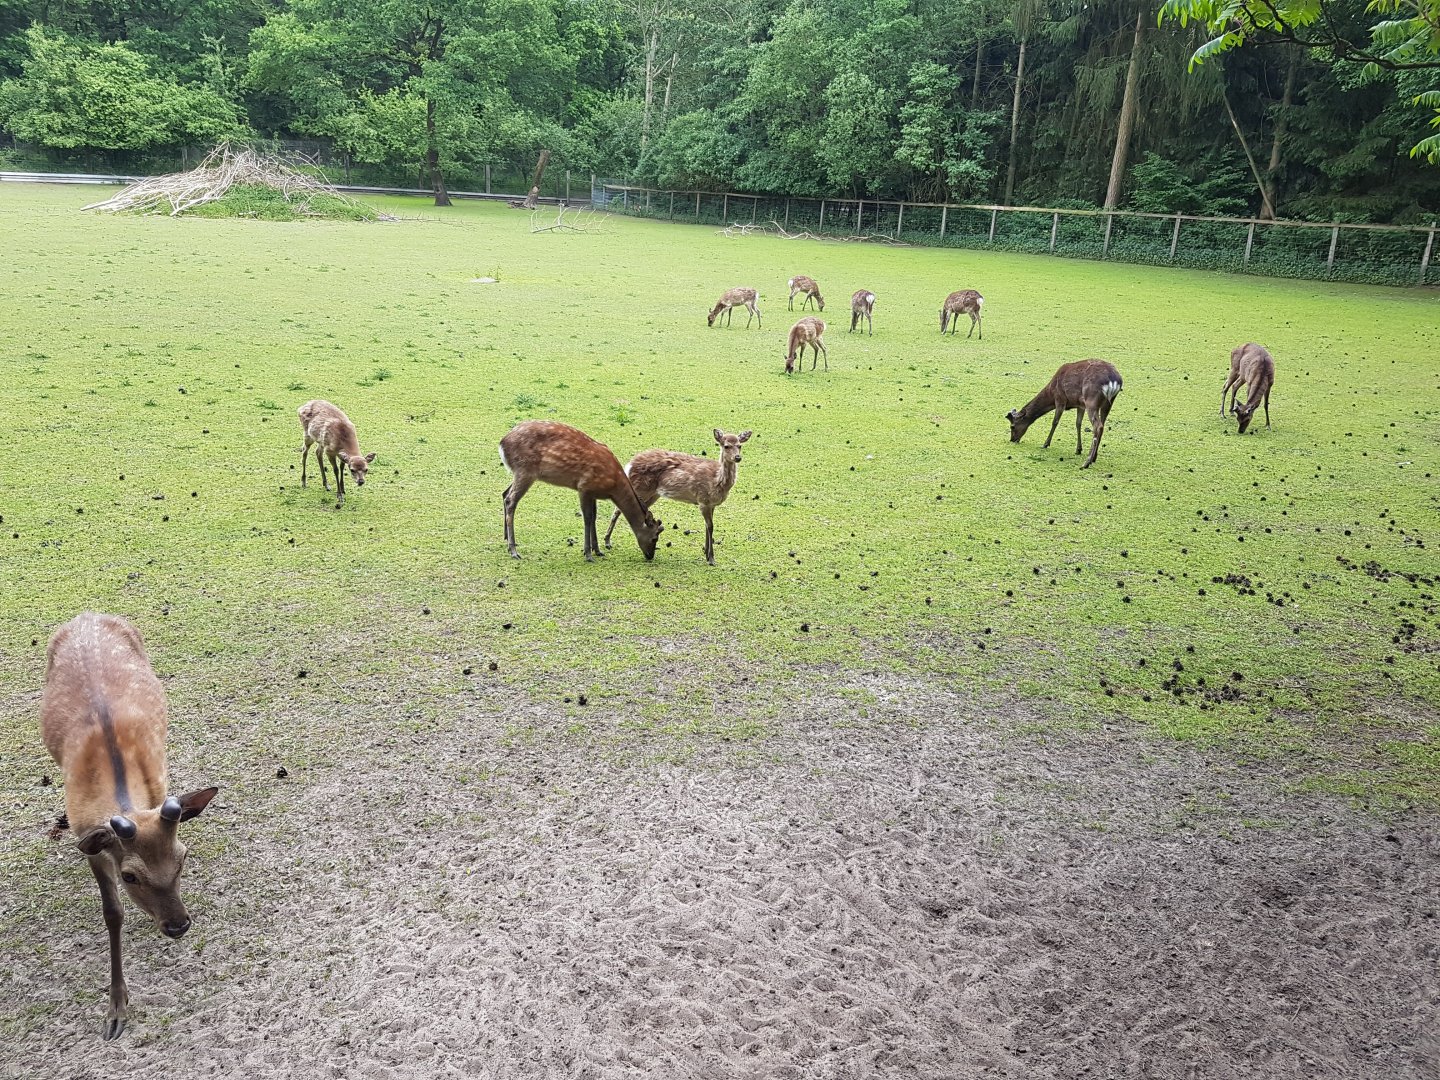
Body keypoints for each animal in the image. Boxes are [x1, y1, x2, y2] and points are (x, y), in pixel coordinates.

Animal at [40, 612, 219, 1041]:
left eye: (182, 859)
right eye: (129, 876)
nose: (178, 925)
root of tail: (87, 613)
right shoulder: (92, 845)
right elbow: (112, 913)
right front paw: (116, 1009)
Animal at [499, 420, 662, 562]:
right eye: (655, 537)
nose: (650, 556)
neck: (613, 487)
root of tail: (502, 443)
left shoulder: (593, 493)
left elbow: (594, 517)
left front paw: (598, 551)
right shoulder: (584, 487)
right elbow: (587, 518)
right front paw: (588, 554)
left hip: (519, 473)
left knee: (505, 493)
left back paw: (506, 540)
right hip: (525, 470)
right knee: (511, 500)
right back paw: (513, 550)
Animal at [604, 429, 753, 565]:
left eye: (740, 445)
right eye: (726, 446)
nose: (738, 457)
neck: (717, 480)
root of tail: (629, 465)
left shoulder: (711, 504)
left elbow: (707, 526)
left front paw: (706, 553)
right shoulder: (703, 500)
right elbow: (710, 526)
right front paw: (711, 559)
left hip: (653, 494)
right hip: (640, 488)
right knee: (618, 509)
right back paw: (607, 542)